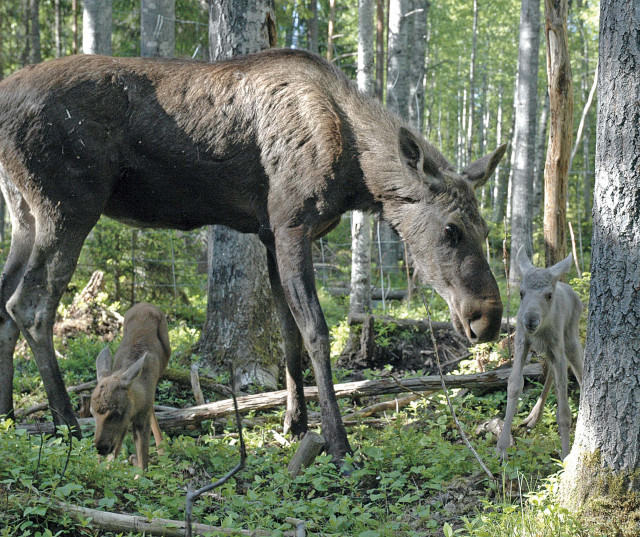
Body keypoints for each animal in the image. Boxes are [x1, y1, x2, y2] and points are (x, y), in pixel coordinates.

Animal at [90, 302, 171, 468]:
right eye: (92, 412)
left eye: (116, 413)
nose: (100, 447)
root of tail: (144, 304)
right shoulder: (127, 421)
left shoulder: (139, 419)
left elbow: (144, 465)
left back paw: (161, 448)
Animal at [496, 247, 584, 460]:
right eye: (521, 293)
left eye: (549, 295)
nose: (530, 320)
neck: (542, 330)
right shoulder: (522, 341)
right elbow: (514, 384)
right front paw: (502, 447)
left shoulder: (556, 343)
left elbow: (563, 409)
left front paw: (565, 455)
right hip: (551, 349)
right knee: (553, 370)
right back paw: (534, 416)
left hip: (570, 337)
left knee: (579, 367)